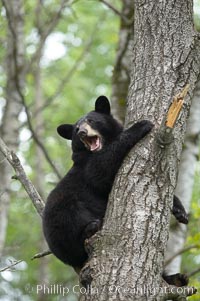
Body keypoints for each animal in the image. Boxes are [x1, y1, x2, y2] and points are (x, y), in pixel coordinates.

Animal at [42, 95, 188, 284]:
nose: (82, 132)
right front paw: (141, 125)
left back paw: (176, 279)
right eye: (76, 129)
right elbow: (100, 171)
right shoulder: (87, 166)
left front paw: (180, 211)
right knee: (71, 223)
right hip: (61, 216)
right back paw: (91, 228)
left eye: (91, 120)